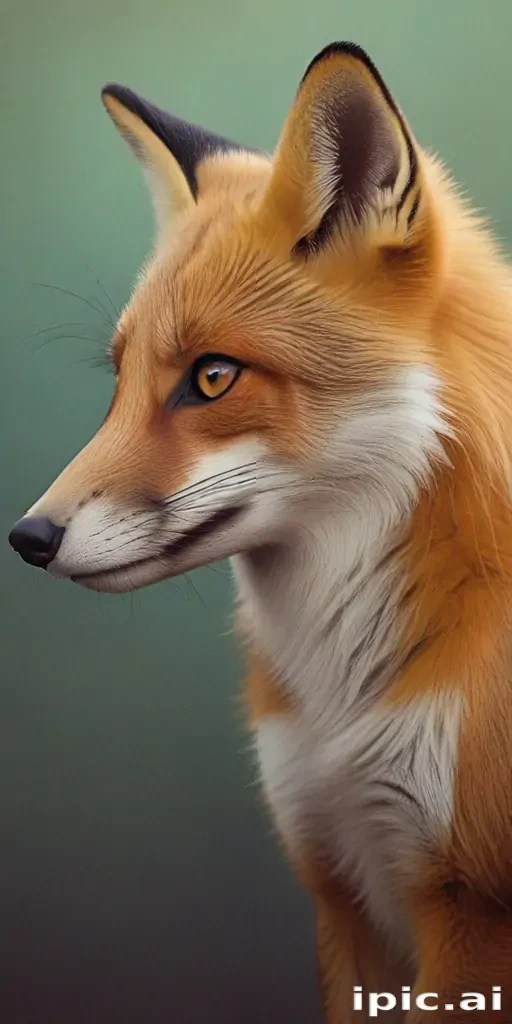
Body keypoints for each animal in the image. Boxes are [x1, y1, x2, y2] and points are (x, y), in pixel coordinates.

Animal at [8, 40, 512, 1022]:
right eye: (120, 379)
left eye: (212, 377)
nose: (29, 537)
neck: (342, 696)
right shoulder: (340, 887)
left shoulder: (470, 911)